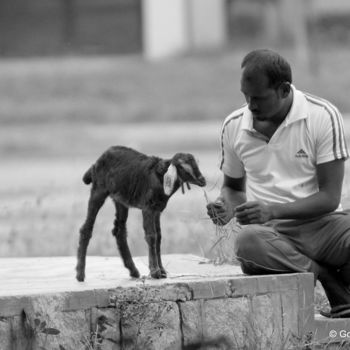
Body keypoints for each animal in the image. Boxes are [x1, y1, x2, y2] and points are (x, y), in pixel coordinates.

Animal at [74, 146, 205, 282]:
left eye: (196, 164)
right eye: (183, 167)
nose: (202, 180)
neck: (160, 177)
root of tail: (96, 162)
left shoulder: (157, 210)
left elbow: (159, 237)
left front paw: (162, 271)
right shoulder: (148, 208)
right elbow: (151, 236)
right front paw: (155, 272)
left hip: (121, 200)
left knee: (119, 231)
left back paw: (133, 270)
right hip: (98, 190)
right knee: (86, 228)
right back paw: (80, 274)